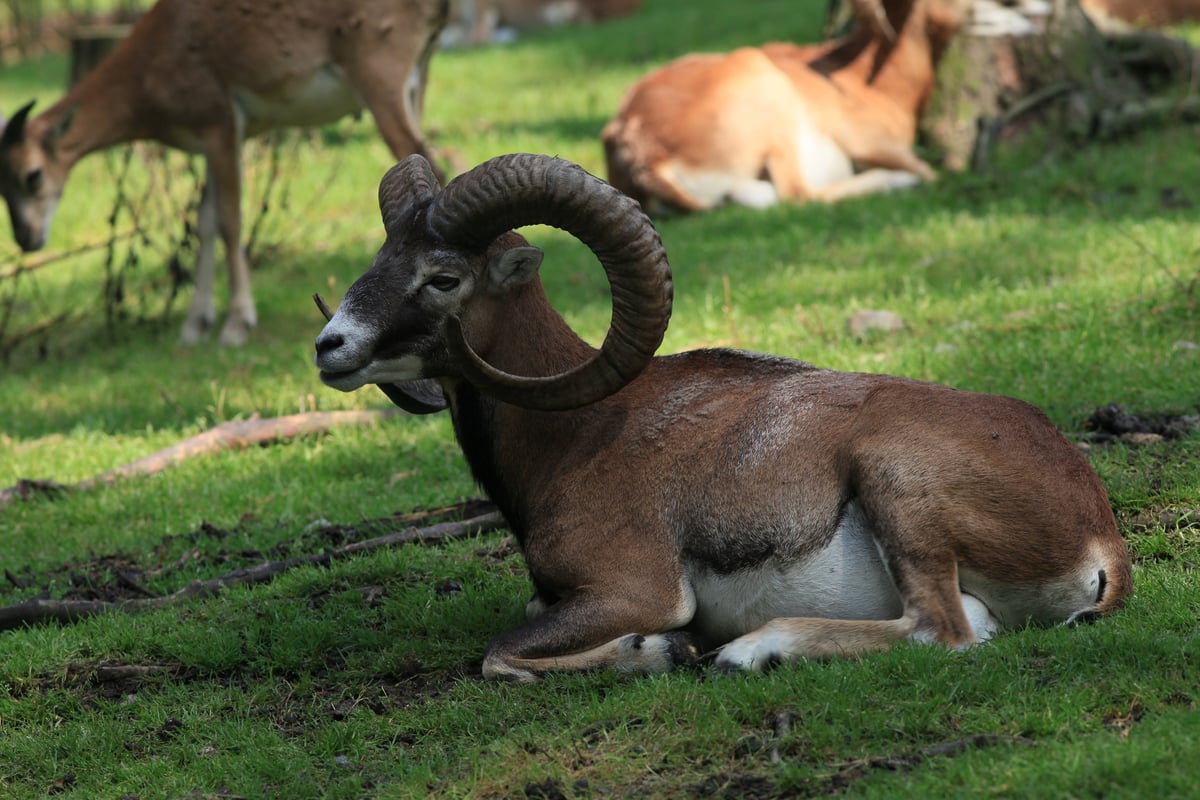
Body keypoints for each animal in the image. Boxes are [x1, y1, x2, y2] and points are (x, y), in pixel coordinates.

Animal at [0, 0, 451, 345]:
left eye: (32, 175)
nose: (26, 239)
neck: (149, 72)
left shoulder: (220, 123)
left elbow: (231, 222)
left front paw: (236, 324)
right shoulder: (205, 141)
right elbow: (205, 221)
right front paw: (195, 324)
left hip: (380, 75)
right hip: (417, 80)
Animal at [312, 154, 1132, 681]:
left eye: (443, 278)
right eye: (382, 256)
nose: (331, 346)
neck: (577, 436)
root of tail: (1099, 539)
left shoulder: (633, 593)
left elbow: (497, 655)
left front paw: (662, 653)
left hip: (899, 488)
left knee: (947, 633)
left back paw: (747, 653)